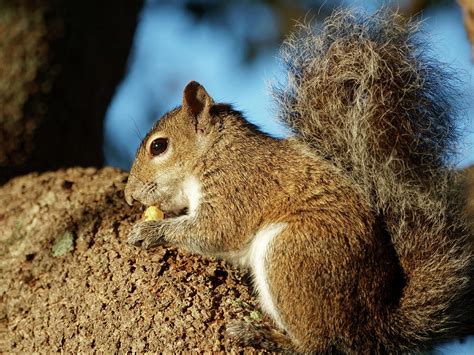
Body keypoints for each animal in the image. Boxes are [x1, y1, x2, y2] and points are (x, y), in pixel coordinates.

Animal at [124, 9, 472, 354]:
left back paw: (259, 335)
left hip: (291, 253)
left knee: (315, 344)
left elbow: (216, 230)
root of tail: (371, 326)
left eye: (159, 146)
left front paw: (151, 231)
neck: (216, 151)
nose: (129, 196)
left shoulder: (238, 184)